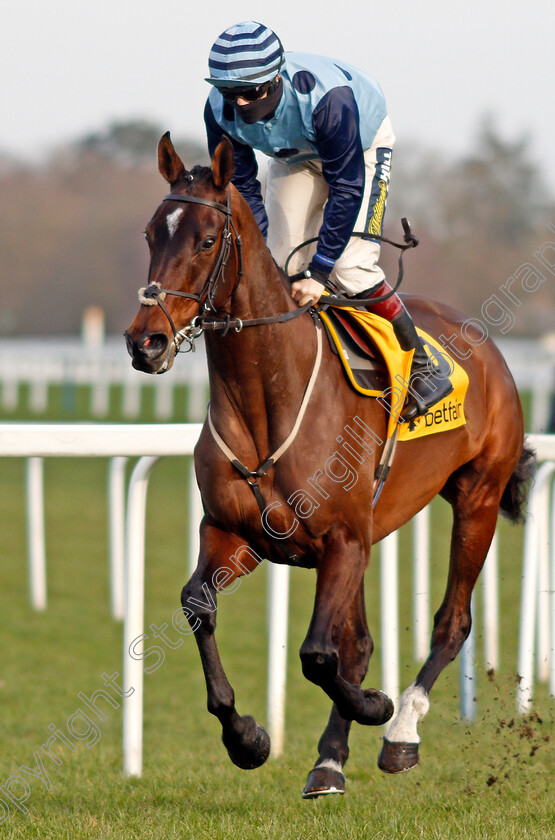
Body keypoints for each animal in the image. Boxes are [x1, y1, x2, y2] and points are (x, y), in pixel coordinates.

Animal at [125, 135, 536, 796]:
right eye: (148, 235)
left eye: (207, 240)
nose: (146, 343)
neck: (269, 398)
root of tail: (487, 347)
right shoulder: (237, 534)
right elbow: (198, 606)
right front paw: (247, 738)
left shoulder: (342, 539)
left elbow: (318, 654)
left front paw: (376, 707)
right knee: (361, 641)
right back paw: (330, 760)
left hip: (478, 497)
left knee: (451, 622)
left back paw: (400, 731)